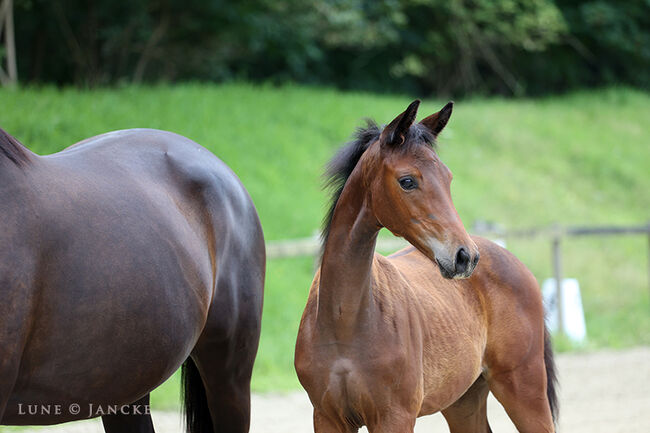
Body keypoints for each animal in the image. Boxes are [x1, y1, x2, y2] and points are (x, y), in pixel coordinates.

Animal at [294, 99, 556, 430]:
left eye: (448, 178)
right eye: (407, 181)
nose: (464, 256)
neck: (344, 320)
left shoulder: (395, 418)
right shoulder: (328, 418)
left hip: (524, 389)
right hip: (463, 401)